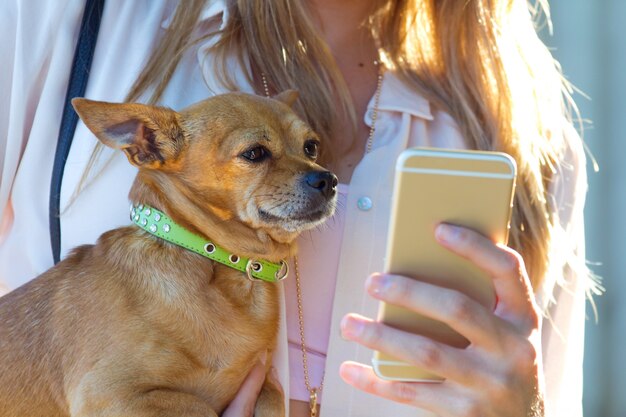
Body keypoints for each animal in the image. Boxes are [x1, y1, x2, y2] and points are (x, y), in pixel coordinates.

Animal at [0, 92, 336, 416]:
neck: (215, 259)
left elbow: (274, 399)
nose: (328, 180)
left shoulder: (264, 383)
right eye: (254, 153)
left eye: (311, 148)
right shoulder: (109, 396)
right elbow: (199, 407)